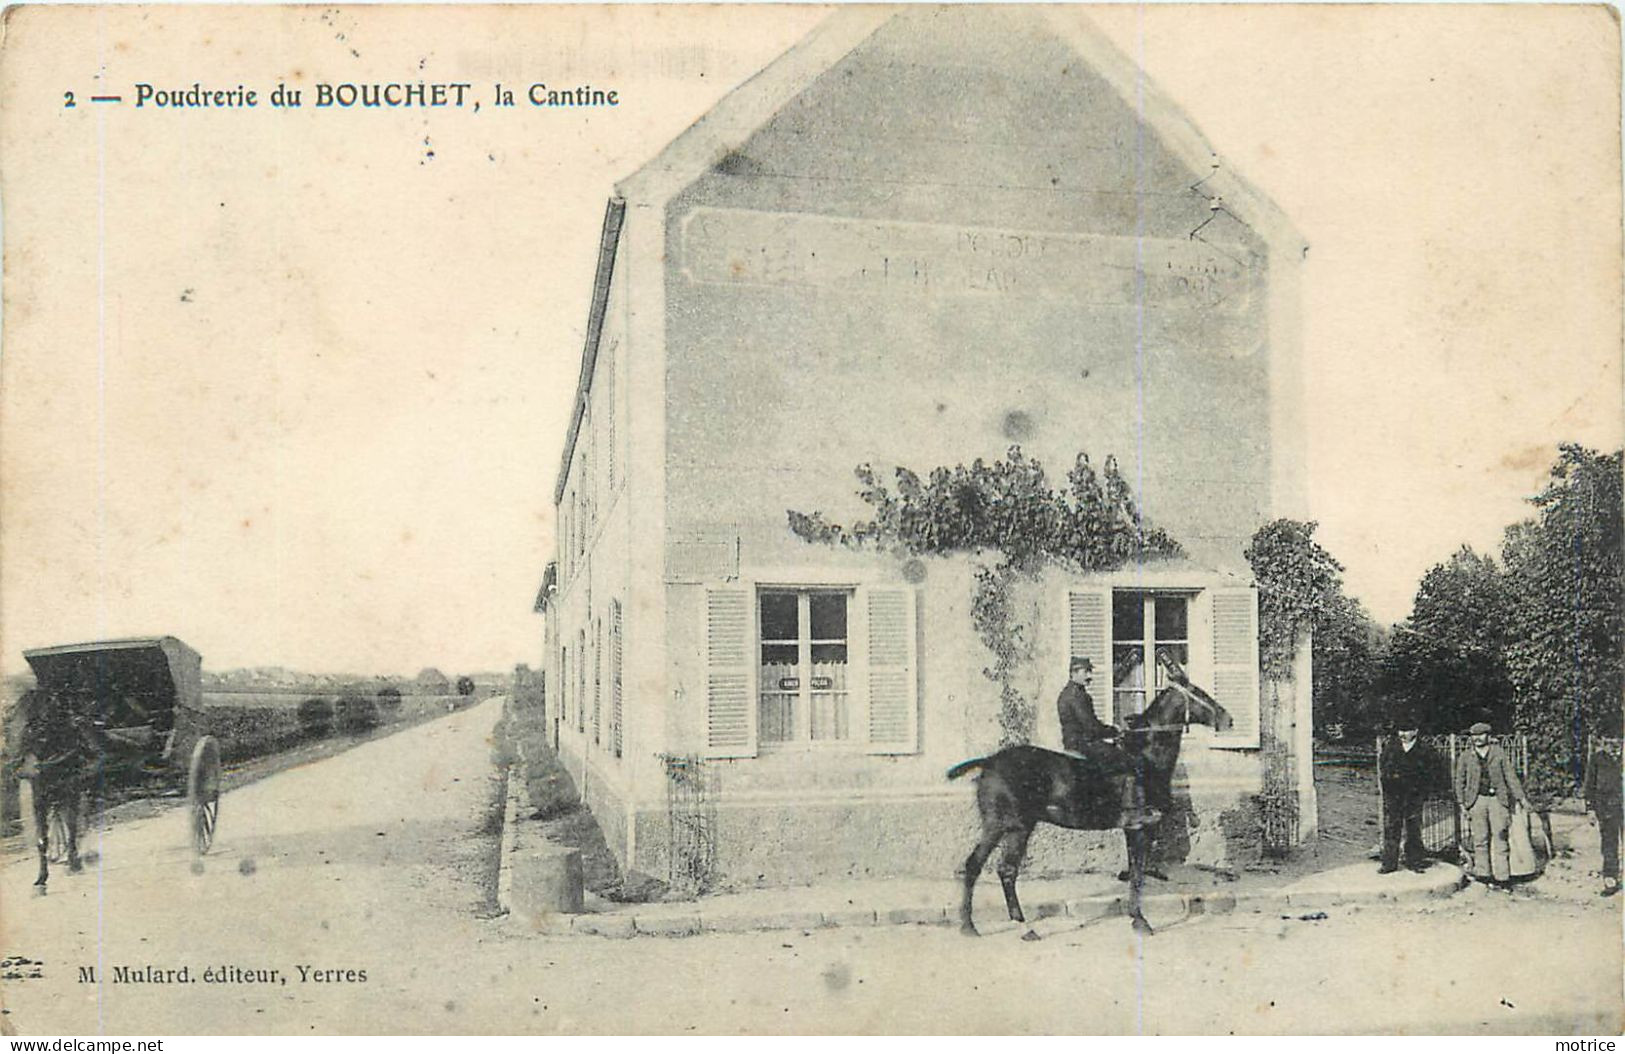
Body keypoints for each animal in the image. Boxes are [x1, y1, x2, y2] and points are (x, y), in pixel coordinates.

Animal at [10, 636, 222, 889]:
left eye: (39, 720)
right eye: (14, 718)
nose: (24, 768)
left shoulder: (72, 788)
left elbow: (71, 826)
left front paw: (73, 864)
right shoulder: (41, 795)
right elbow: (44, 837)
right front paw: (42, 879)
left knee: (201, 796)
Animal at [942, 665, 1228, 935]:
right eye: (1198, 692)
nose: (1228, 719)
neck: (1146, 756)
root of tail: (989, 762)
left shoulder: (1132, 829)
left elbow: (1135, 872)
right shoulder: (1139, 827)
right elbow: (1137, 875)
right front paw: (1140, 920)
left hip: (1010, 828)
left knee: (992, 868)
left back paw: (1000, 926)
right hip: (1006, 826)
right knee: (989, 867)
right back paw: (989, 925)